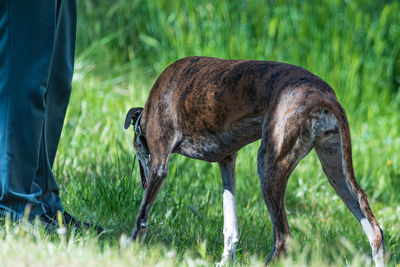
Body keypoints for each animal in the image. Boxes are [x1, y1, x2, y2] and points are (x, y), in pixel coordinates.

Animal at [125, 56, 384, 266]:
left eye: (137, 149)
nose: (142, 180)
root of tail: (323, 95)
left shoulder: (160, 166)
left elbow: (142, 215)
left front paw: (130, 247)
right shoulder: (227, 162)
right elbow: (230, 224)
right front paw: (224, 261)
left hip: (269, 165)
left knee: (283, 239)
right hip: (336, 169)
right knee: (373, 227)